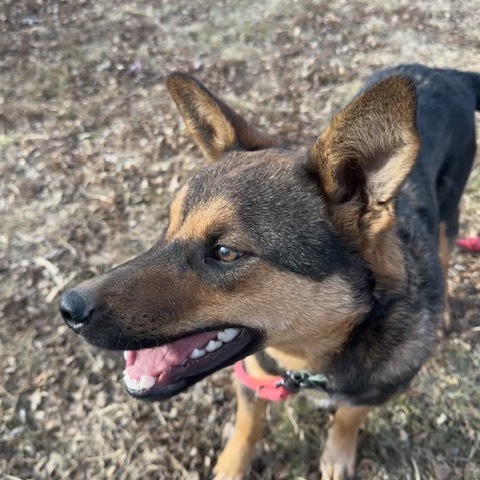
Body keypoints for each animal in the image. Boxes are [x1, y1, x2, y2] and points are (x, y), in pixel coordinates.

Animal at [60, 64, 480, 480]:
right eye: (168, 228)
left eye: (226, 252)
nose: (68, 307)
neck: (310, 361)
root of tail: (440, 71)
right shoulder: (252, 374)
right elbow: (248, 423)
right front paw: (233, 465)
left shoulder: (380, 389)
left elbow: (348, 417)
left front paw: (337, 453)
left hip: (450, 208)